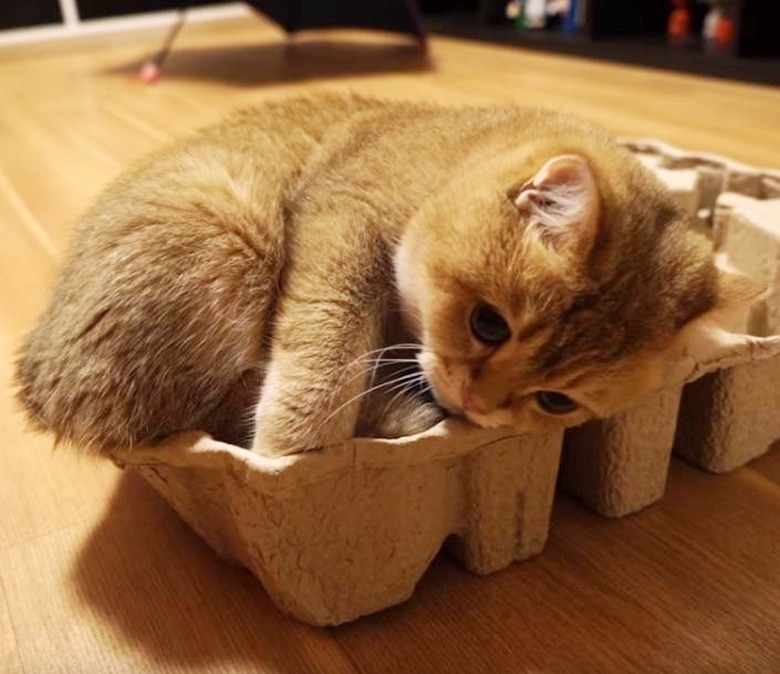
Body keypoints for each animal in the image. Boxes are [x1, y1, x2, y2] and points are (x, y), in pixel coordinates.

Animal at [12, 92, 760, 454]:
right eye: (487, 324)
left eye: (556, 402)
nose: (479, 406)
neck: (445, 161)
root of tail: (38, 383)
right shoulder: (344, 226)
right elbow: (326, 353)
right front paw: (297, 446)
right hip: (226, 239)